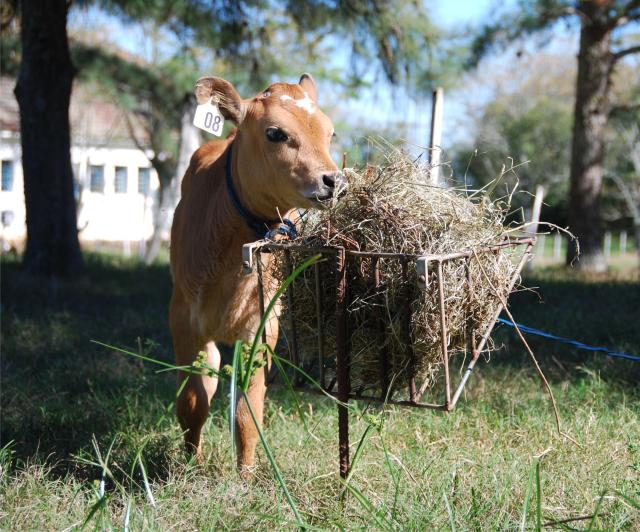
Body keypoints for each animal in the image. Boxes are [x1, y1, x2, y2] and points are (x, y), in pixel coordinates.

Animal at [170, 71, 344, 474]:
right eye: (275, 133)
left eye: (330, 132)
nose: (333, 180)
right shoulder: (183, 318)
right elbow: (193, 402)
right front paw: (190, 464)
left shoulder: (263, 325)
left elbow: (248, 410)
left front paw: (246, 475)